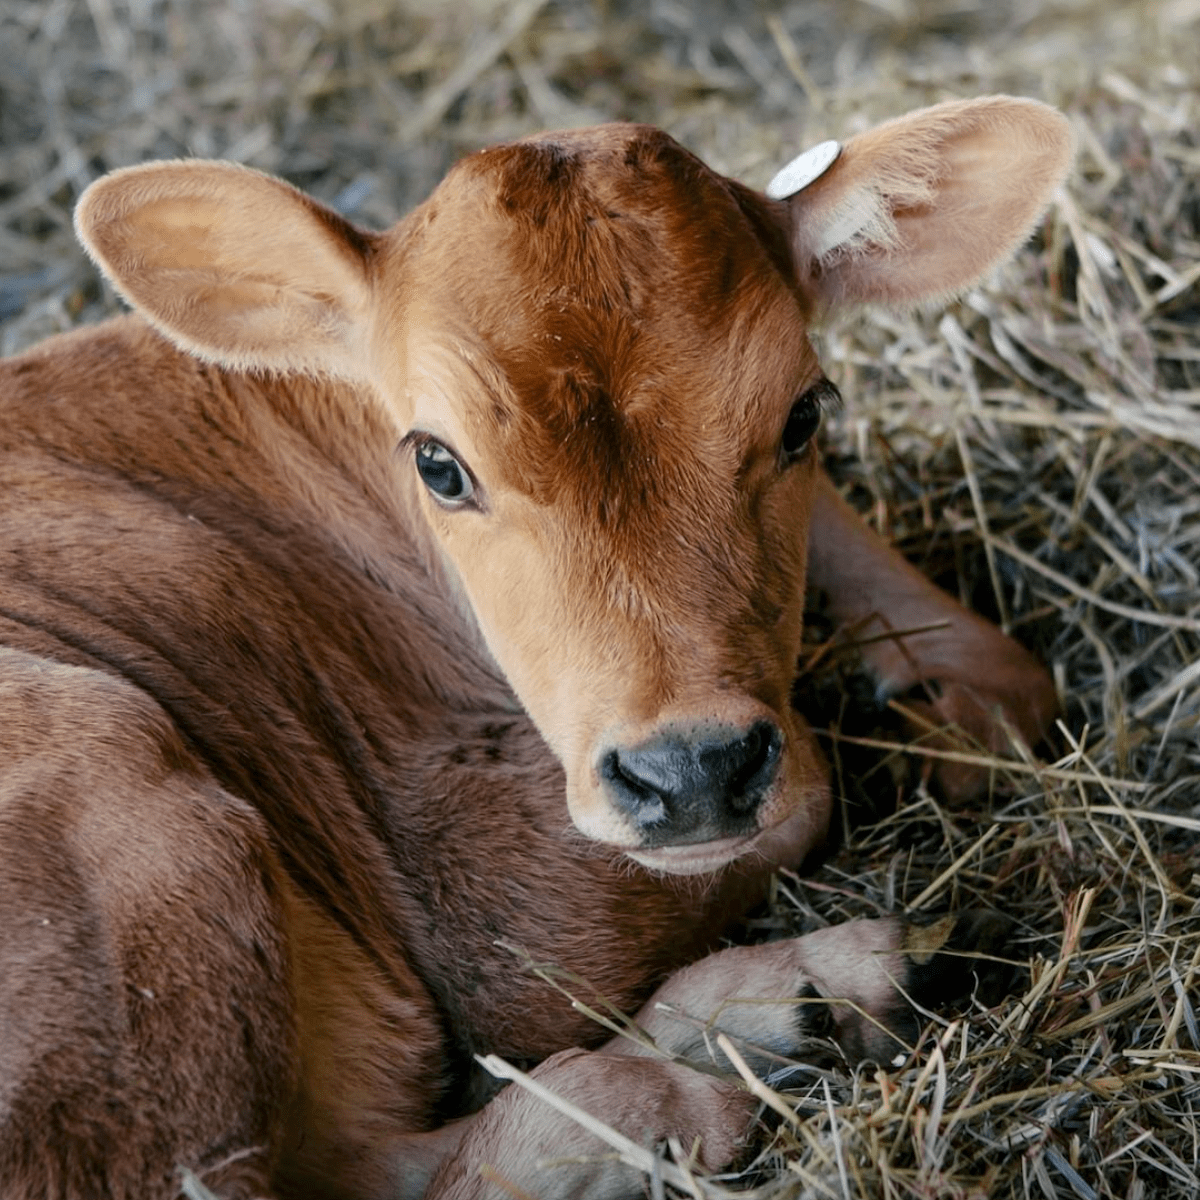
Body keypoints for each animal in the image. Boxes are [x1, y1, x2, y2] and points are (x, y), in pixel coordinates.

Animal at [0, 96, 1069, 1199]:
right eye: (438, 463)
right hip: (121, 783)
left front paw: (954, 696)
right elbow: (803, 788)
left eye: (803, 415)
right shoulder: (477, 892)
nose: (693, 774)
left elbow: (1001, 671)